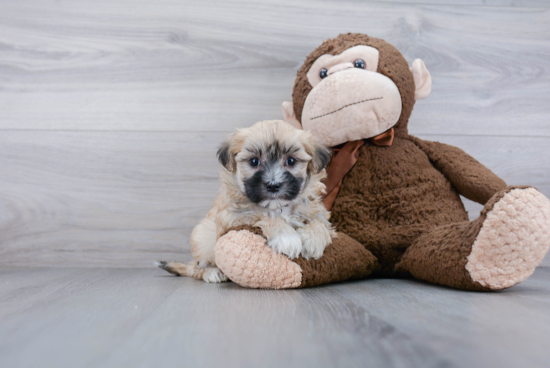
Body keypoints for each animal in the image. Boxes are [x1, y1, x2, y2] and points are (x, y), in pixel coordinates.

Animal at [158, 119, 336, 284]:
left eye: (291, 161)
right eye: (254, 161)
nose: (273, 185)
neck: (277, 206)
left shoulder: (316, 210)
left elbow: (320, 222)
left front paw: (313, 240)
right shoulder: (235, 216)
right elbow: (265, 215)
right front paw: (286, 237)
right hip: (203, 236)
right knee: (198, 267)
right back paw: (212, 272)